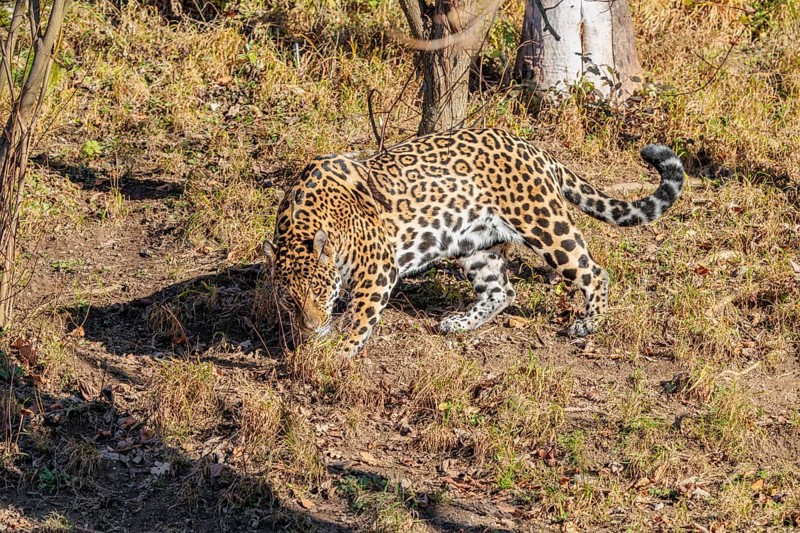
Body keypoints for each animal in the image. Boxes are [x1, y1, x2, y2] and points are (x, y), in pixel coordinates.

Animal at [264, 128, 684, 357]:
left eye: (321, 292)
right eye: (290, 299)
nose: (311, 326)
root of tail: (533, 147)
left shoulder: (377, 271)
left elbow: (359, 318)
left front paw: (337, 353)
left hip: (544, 224)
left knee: (593, 271)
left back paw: (589, 322)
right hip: (475, 244)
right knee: (502, 291)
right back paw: (458, 323)